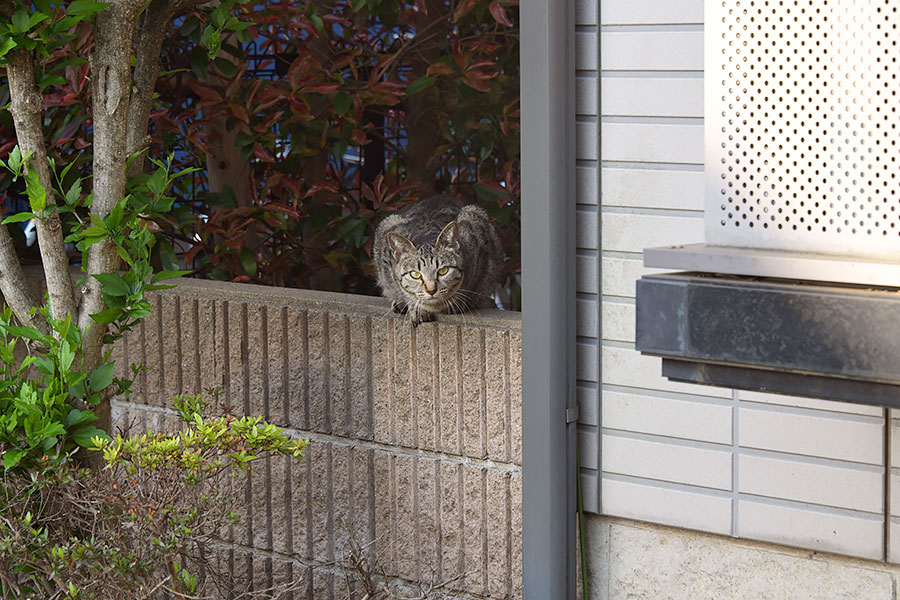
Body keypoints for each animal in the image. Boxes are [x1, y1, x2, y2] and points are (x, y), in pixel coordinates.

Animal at [370, 196, 502, 328]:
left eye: (443, 271)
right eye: (415, 274)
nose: (431, 290)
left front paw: (456, 301)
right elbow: (403, 289)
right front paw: (416, 307)